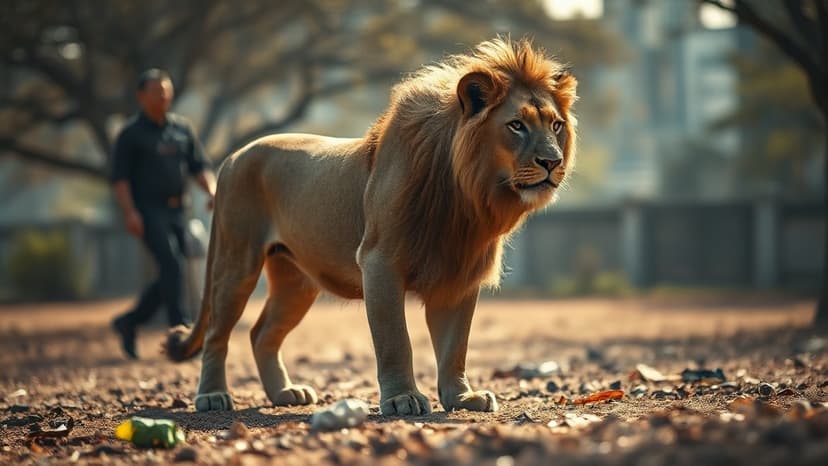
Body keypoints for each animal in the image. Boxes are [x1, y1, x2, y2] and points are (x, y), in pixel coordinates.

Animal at [165, 37, 578, 416]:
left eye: (556, 125)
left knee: (261, 332)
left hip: (296, 279)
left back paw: (285, 393)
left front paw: (462, 397)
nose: (552, 162)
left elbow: (455, 345)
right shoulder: (380, 262)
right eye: (516, 125)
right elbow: (395, 340)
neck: (467, 199)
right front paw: (402, 399)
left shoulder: (459, 274)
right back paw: (212, 396)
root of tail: (233, 156)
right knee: (217, 333)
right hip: (237, 262)